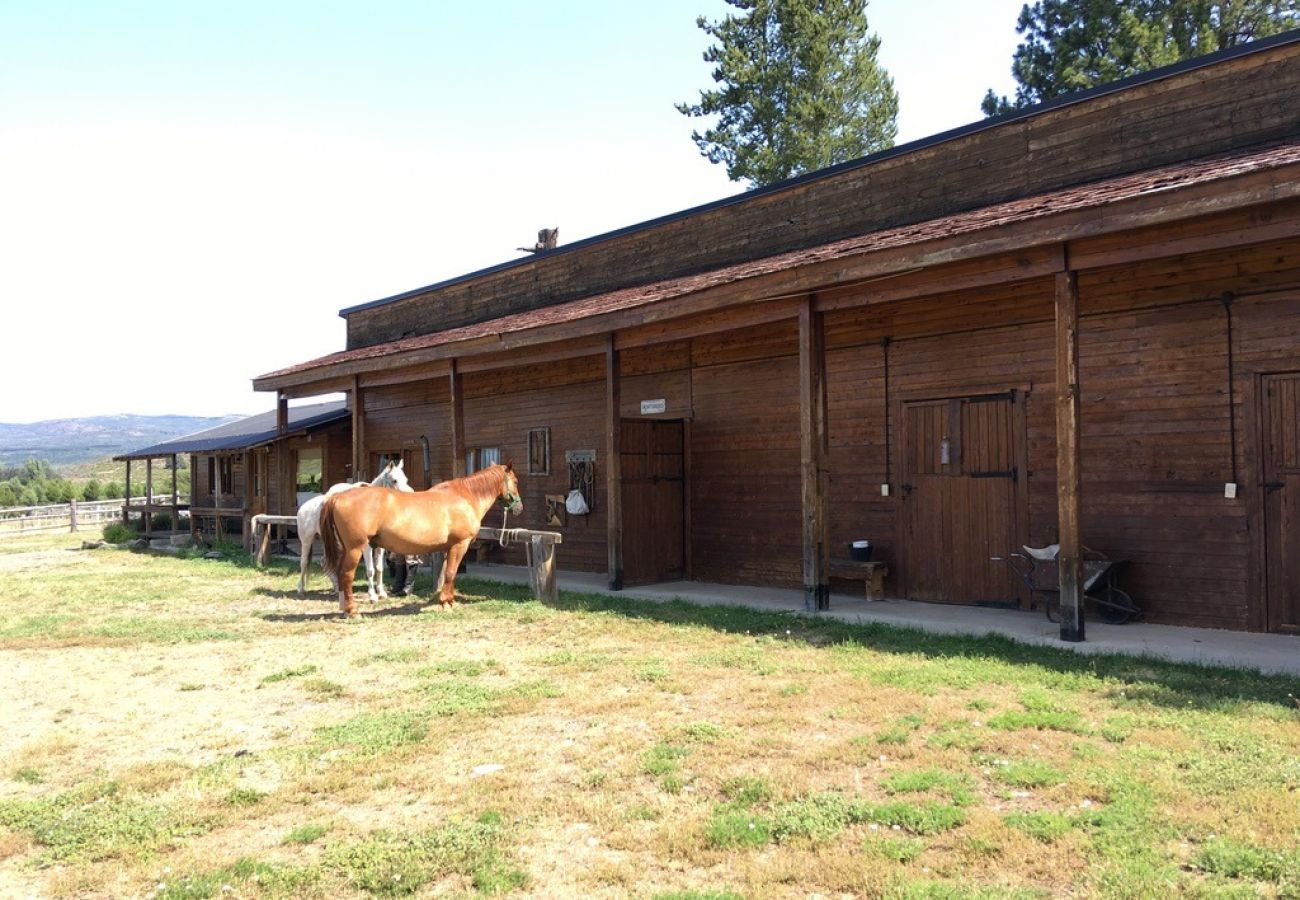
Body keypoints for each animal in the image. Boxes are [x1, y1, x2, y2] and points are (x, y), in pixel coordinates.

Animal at [297, 460, 410, 600]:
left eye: (405, 479)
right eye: (394, 480)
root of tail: (303, 507)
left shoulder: (380, 547)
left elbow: (379, 568)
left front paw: (381, 593)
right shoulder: (366, 546)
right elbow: (370, 570)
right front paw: (372, 595)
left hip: (331, 543)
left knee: (325, 562)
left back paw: (337, 588)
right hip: (307, 541)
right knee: (304, 562)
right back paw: (301, 589)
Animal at [317, 463, 520, 619]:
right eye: (516, 481)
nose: (519, 507)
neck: (465, 496)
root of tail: (337, 497)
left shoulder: (449, 548)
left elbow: (450, 573)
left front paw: (450, 600)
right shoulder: (459, 545)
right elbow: (451, 573)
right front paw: (446, 603)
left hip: (346, 549)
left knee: (340, 574)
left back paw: (343, 608)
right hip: (355, 549)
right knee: (346, 575)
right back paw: (352, 611)